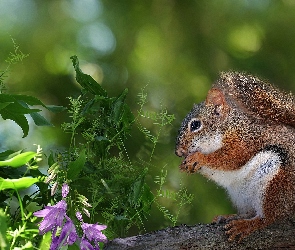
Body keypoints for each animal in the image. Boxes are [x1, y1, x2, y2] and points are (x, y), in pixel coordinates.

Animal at [175, 72, 295, 242]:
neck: (229, 127)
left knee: (269, 217)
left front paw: (198, 158)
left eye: (195, 125)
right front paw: (185, 165)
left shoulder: (246, 141)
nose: (178, 152)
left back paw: (246, 225)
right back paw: (230, 217)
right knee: (251, 211)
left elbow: (232, 158)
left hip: (277, 182)